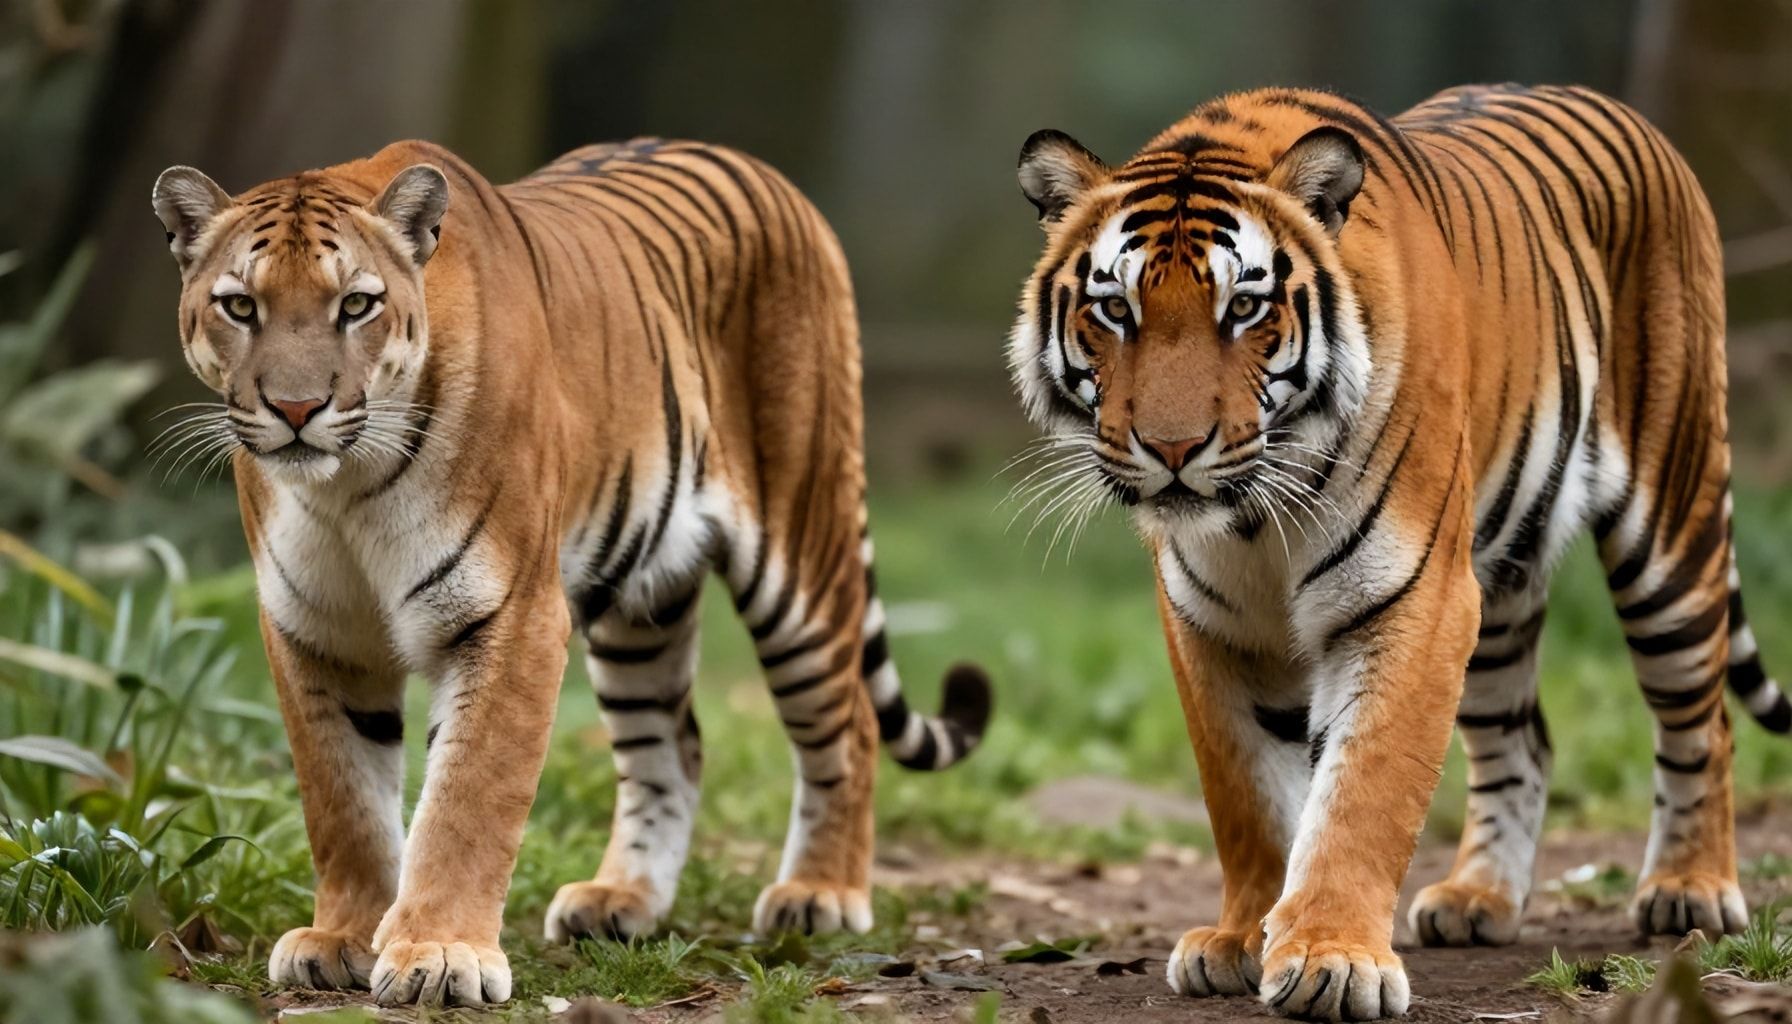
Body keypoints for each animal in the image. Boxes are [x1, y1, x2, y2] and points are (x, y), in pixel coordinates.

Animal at [150, 137, 990, 1007]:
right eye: (240, 307)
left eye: (355, 305)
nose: (295, 410)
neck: (346, 485)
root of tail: (763, 169)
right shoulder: (313, 631)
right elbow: (341, 800)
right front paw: (342, 938)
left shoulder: (511, 614)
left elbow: (468, 796)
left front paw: (439, 953)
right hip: (639, 609)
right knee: (673, 748)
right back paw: (621, 899)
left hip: (801, 554)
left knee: (848, 722)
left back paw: (819, 895)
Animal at [1007, 83, 1791, 1021]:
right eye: (1115, 310)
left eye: (1244, 309)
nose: (1172, 448)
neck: (1254, 518)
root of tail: (1624, 112)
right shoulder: (1212, 624)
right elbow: (1247, 795)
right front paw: (1240, 937)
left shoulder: (1411, 598)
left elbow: (1363, 788)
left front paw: (1331, 958)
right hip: (1499, 583)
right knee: (1524, 741)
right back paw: (1478, 899)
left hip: (1669, 529)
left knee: (1702, 720)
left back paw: (1689, 888)